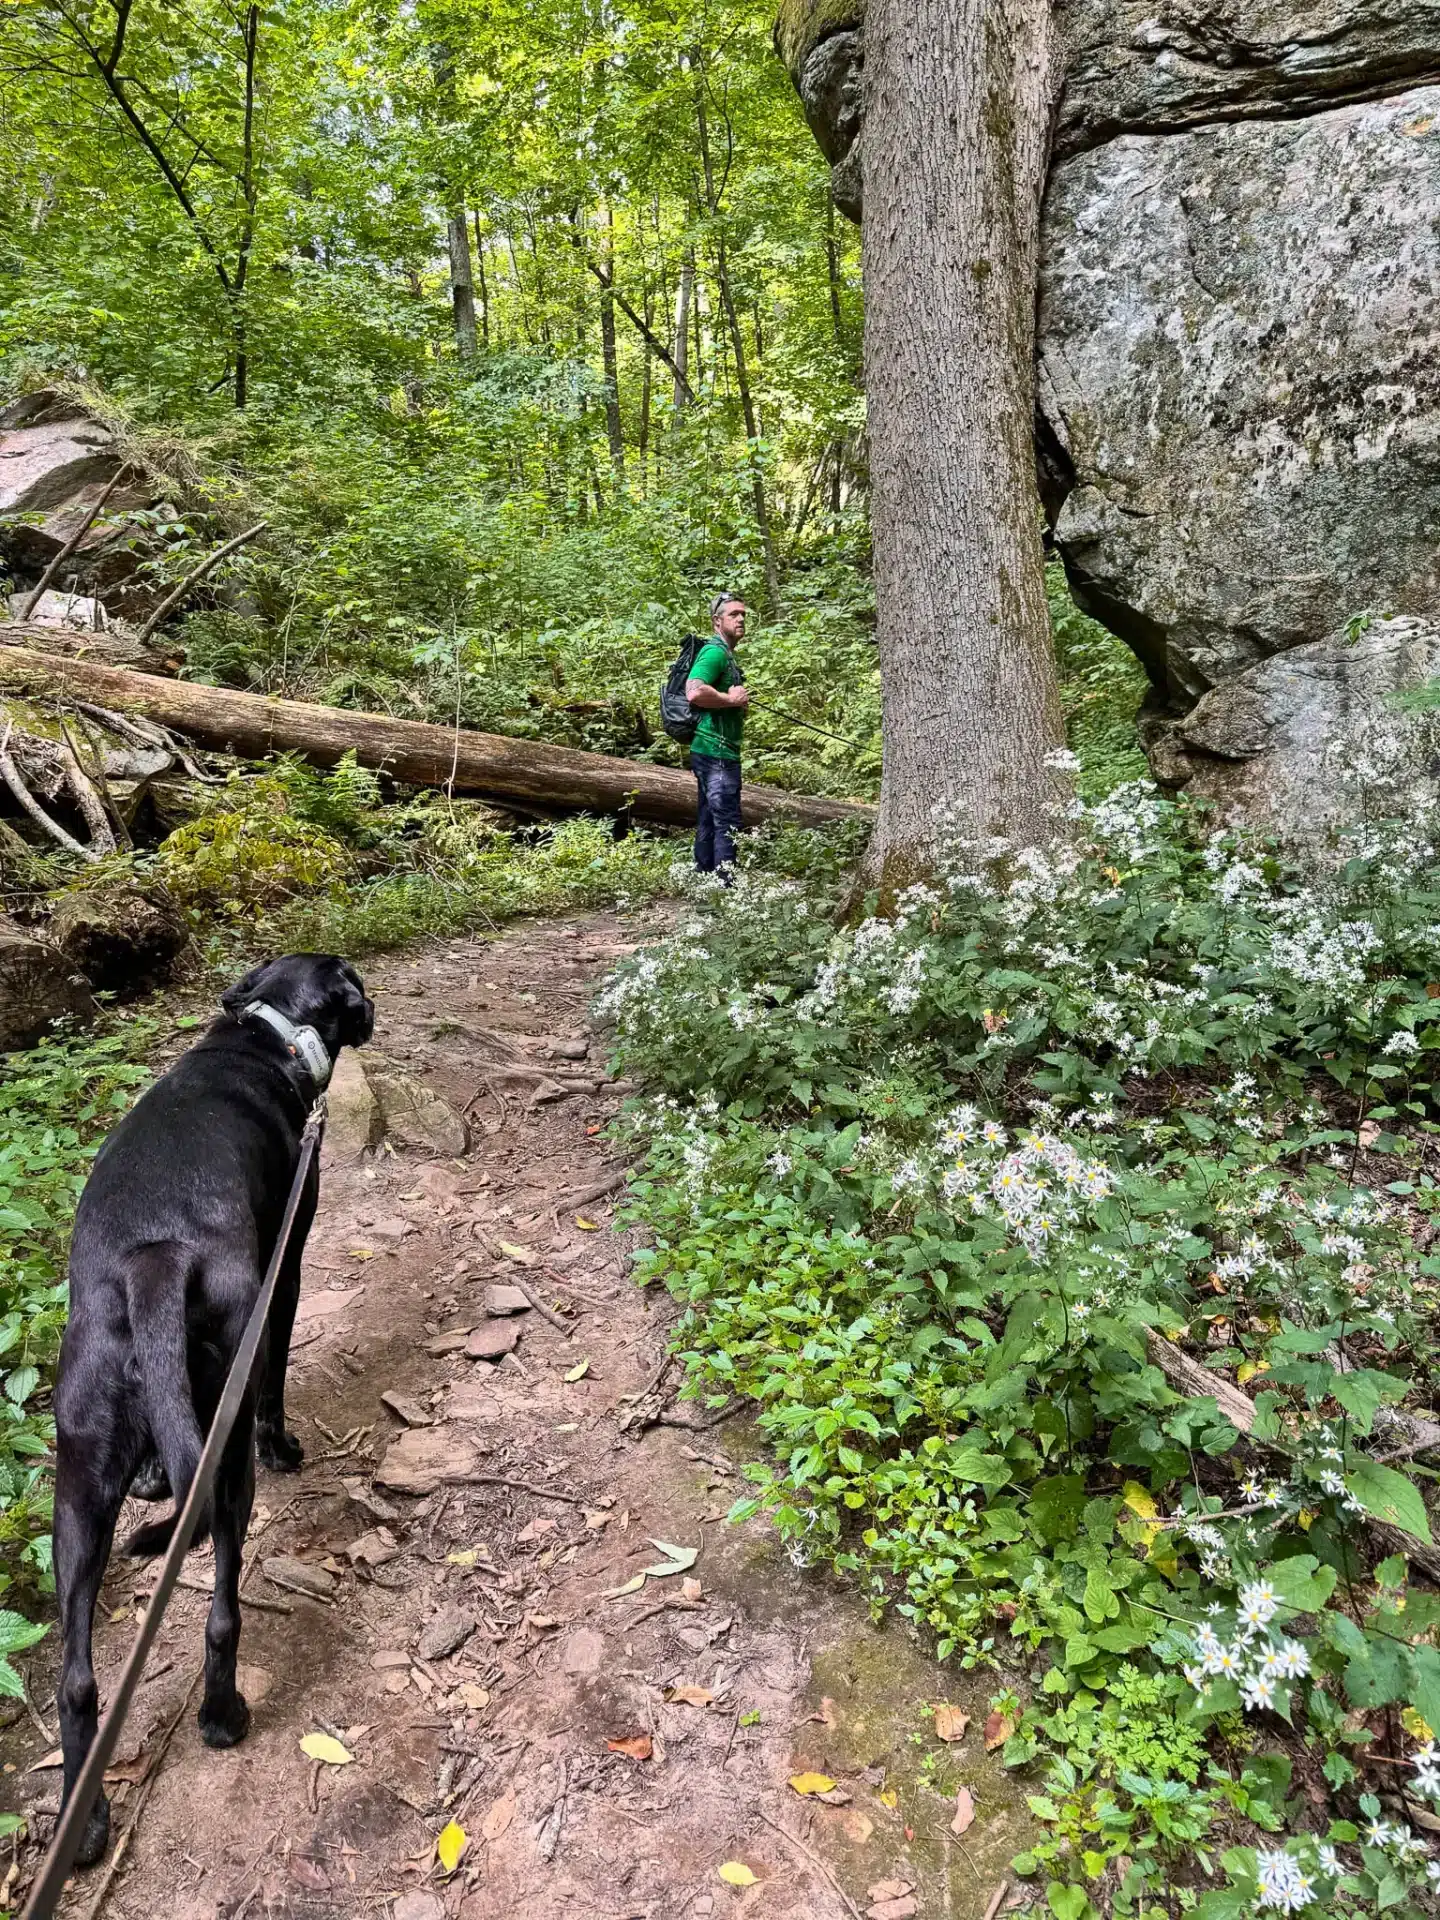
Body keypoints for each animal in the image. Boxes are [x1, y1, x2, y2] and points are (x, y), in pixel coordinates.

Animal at [53, 956, 374, 1858]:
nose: (374, 1012)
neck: (263, 1033)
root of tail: (154, 1261)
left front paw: (154, 1479)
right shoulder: (288, 1267)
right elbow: (276, 1380)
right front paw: (284, 1442)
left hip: (77, 1486)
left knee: (76, 1681)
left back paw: (87, 1820)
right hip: (226, 1472)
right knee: (222, 1616)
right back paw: (223, 1716)